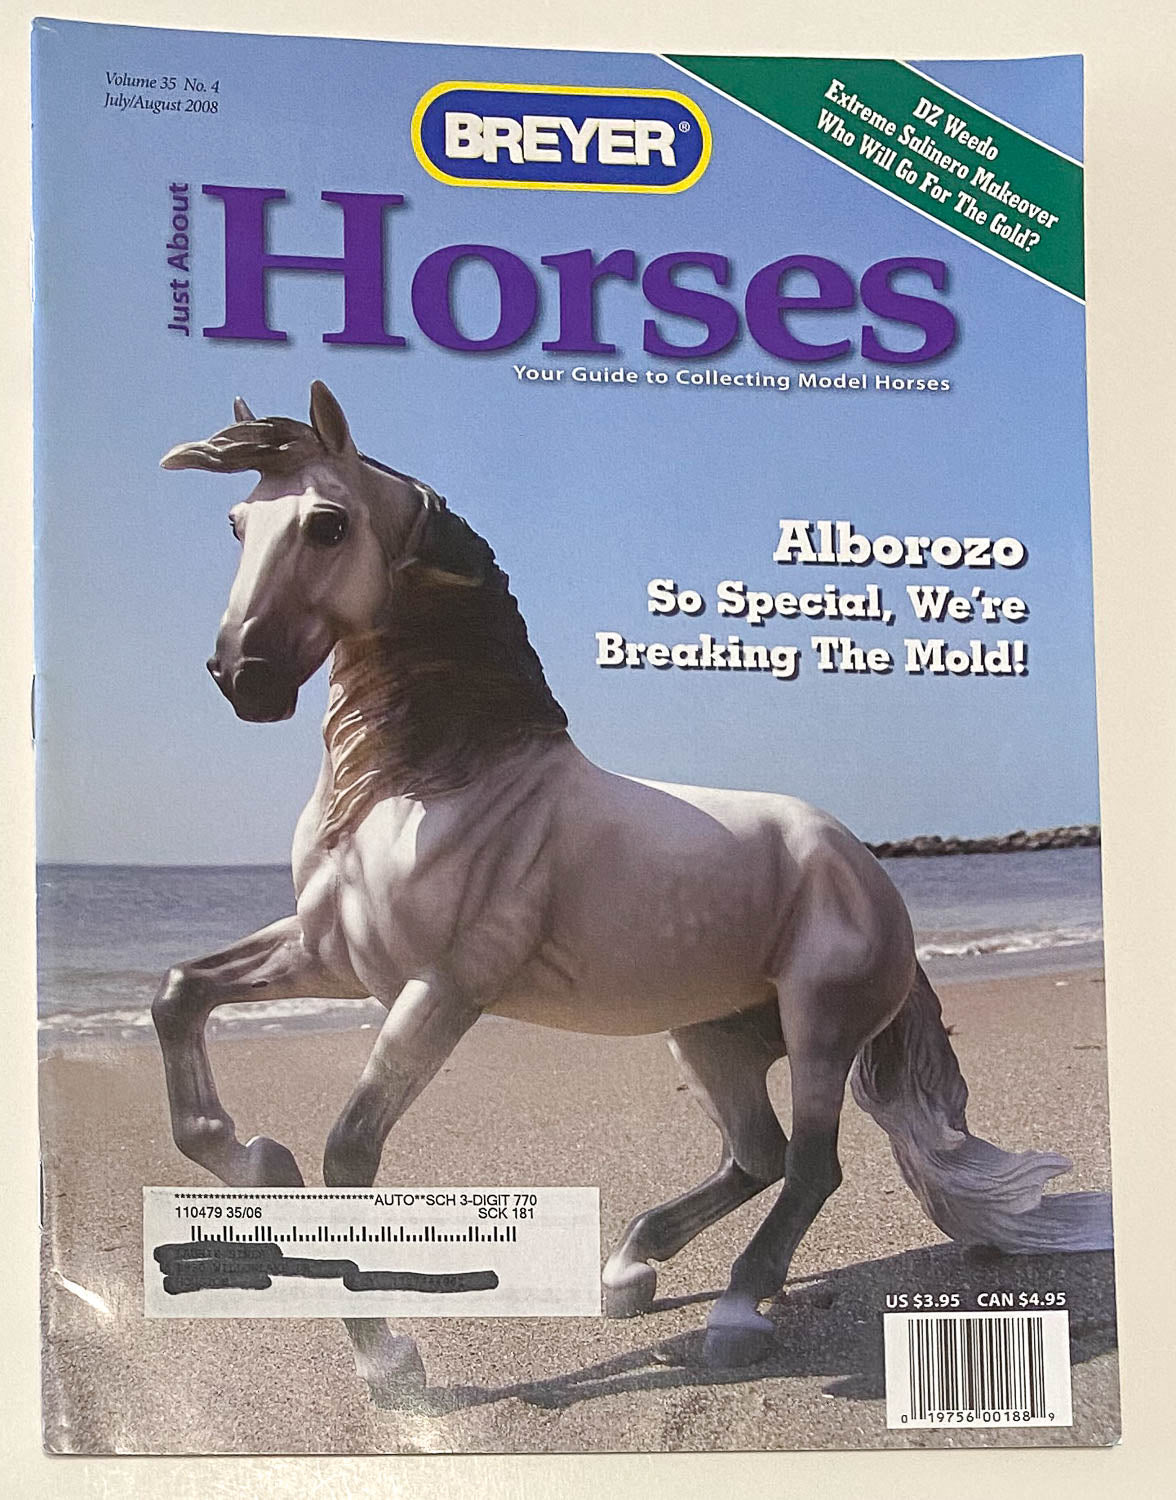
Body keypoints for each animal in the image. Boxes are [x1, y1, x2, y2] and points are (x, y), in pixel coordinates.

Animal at [154, 381, 1112, 1404]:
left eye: (327, 524)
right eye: (237, 522)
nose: (242, 677)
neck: (434, 780)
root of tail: (868, 872)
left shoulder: (443, 989)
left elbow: (349, 1152)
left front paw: (392, 1365)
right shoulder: (333, 956)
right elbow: (179, 994)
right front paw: (256, 1159)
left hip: (817, 1029)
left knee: (811, 1167)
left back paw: (734, 1316)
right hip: (711, 1037)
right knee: (757, 1155)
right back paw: (630, 1271)